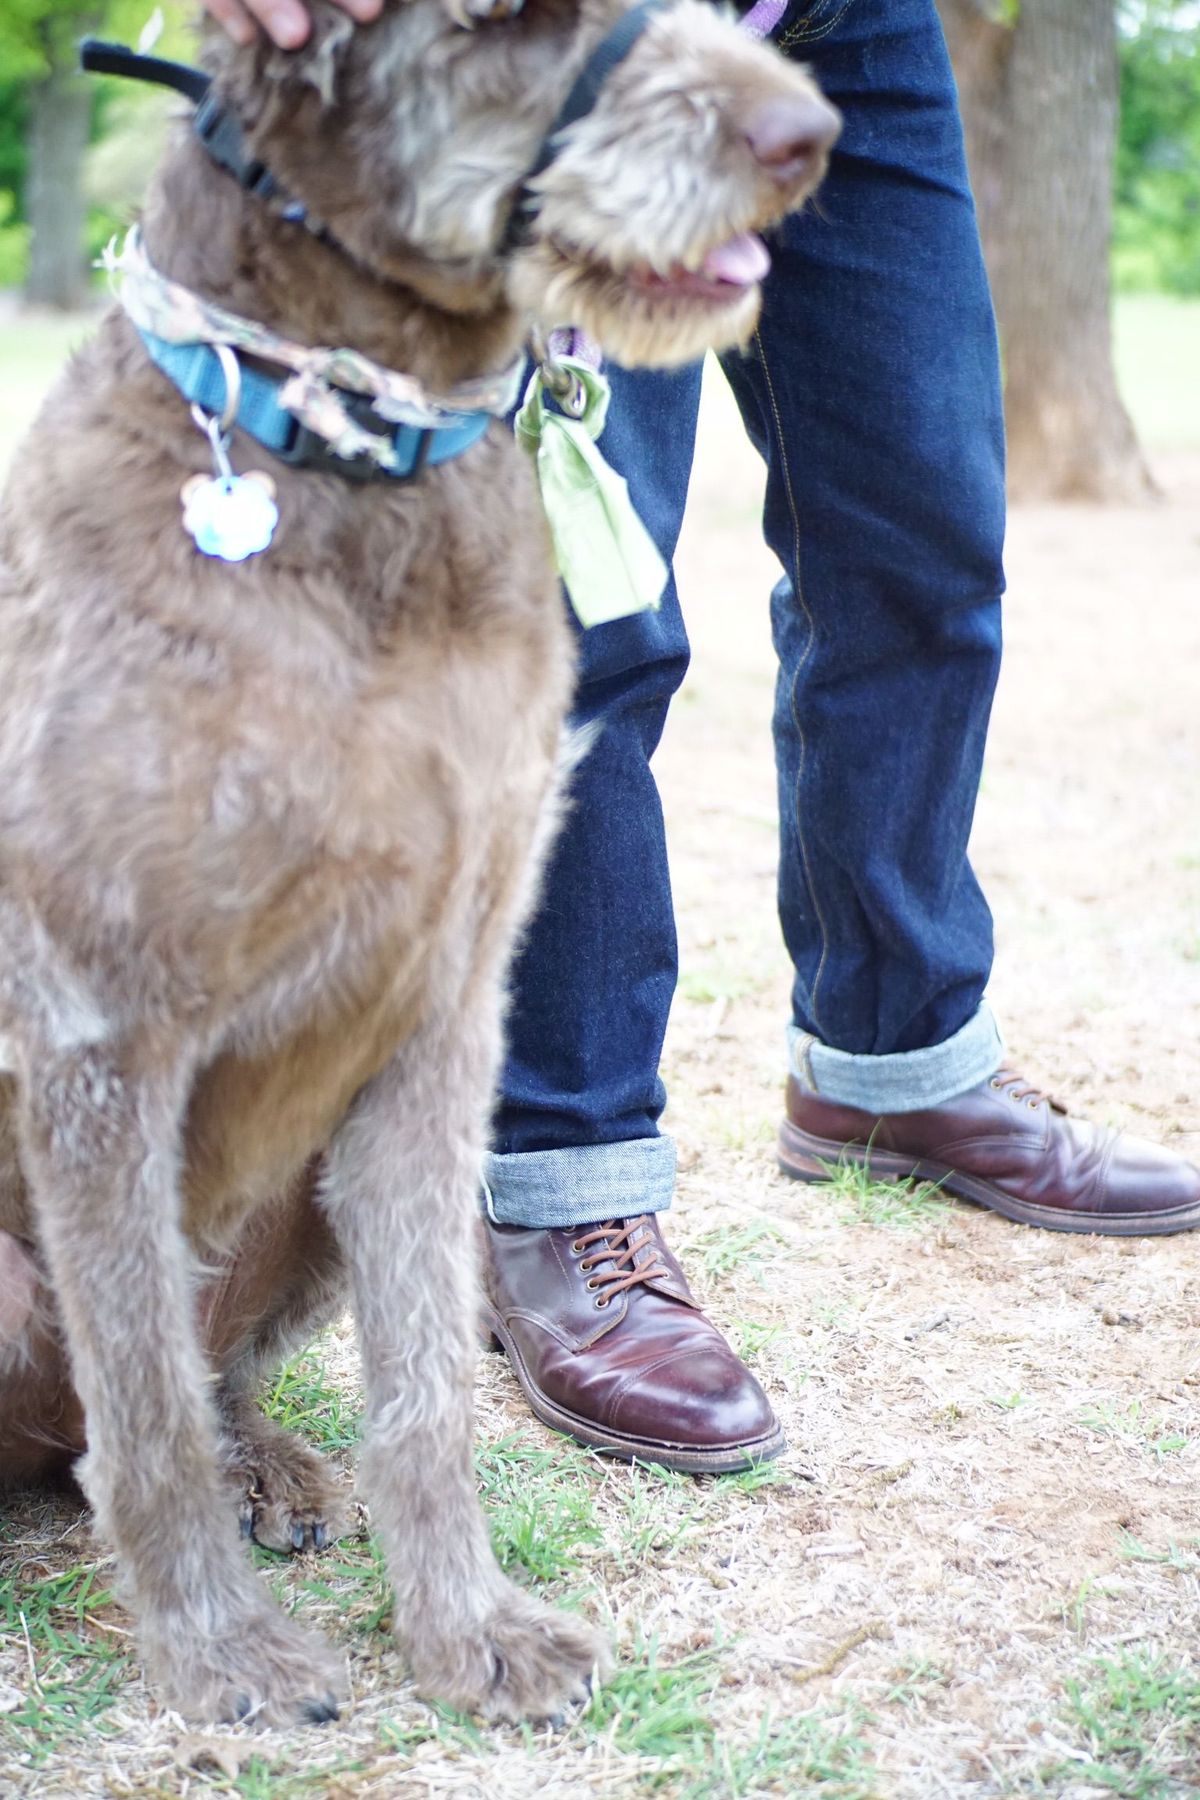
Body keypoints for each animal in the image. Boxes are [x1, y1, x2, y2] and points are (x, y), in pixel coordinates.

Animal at [0, 0, 841, 1728]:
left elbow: (425, 1389)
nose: (806, 139)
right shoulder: (99, 1038)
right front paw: (221, 1653)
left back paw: (266, 1464)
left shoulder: (441, 1016)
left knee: (188, 1387)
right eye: (505, 21)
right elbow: (145, 1407)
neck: (347, 467)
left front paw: (469, 1631)